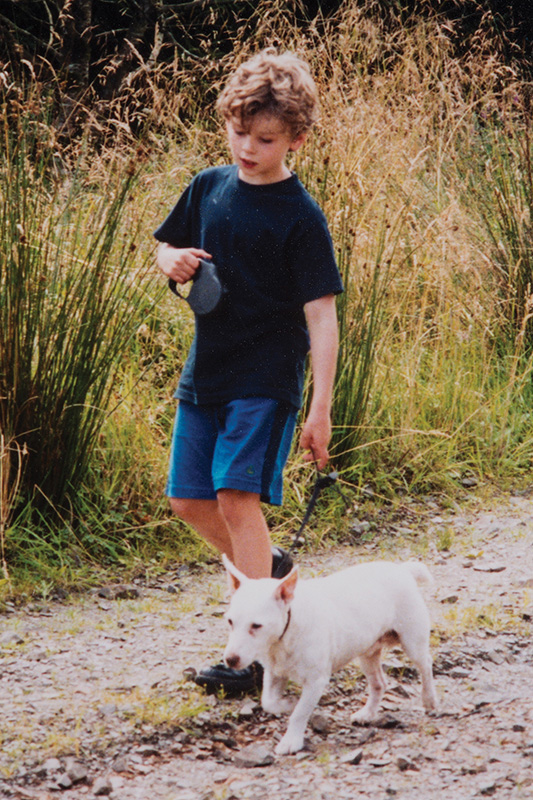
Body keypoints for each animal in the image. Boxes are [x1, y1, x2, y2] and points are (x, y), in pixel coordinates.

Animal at [221, 556, 436, 756]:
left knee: (426, 664)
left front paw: (291, 740)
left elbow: (300, 713)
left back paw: (429, 699)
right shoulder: (274, 673)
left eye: (256, 625)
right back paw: (367, 713)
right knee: (379, 684)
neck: (285, 634)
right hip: (367, 653)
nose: (230, 660)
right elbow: (269, 702)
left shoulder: (316, 681)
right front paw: (288, 704)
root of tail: (403, 569)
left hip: (412, 642)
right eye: (230, 621)